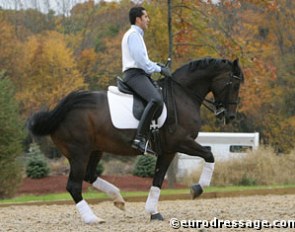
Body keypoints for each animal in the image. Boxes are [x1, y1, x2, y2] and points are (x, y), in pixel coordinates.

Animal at [27, 57, 245, 224]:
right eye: (234, 85)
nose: (230, 116)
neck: (183, 94)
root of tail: (64, 109)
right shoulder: (181, 142)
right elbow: (210, 155)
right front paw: (197, 189)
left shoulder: (168, 150)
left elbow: (158, 179)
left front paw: (153, 212)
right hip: (79, 153)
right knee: (74, 185)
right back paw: (92, 218)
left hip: (95, 149)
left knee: (89, 175)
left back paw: (118, 198)